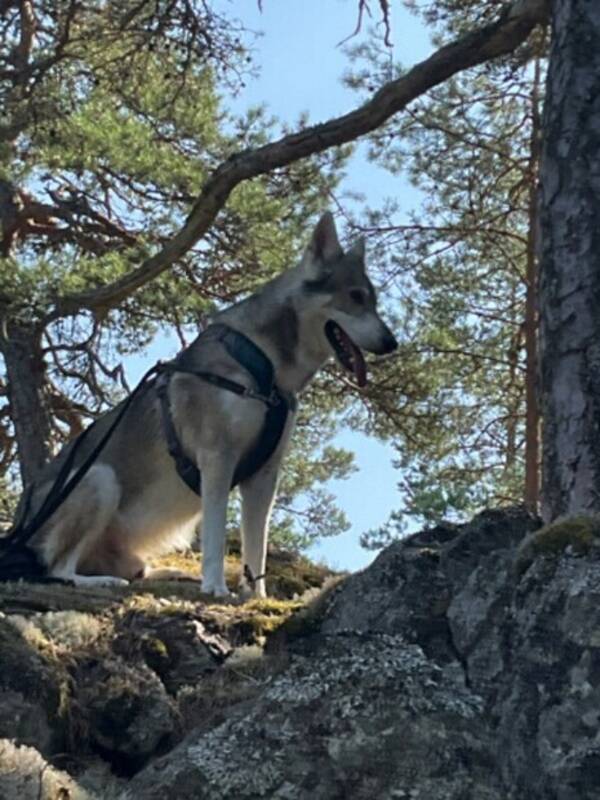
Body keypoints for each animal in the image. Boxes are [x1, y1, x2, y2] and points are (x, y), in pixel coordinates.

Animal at [16, 209, 396, 596]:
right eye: (355, 297)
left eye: (374, 301)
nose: (391, 342)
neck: (266, 369)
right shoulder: (218, 459)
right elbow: (215, 536)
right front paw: (215, 587)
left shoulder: (265, 473)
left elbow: (256, 548)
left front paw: (256, 596)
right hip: (99, 477)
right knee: (59, 569)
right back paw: (102, 581)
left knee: (132, 570)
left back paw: (167, 573)